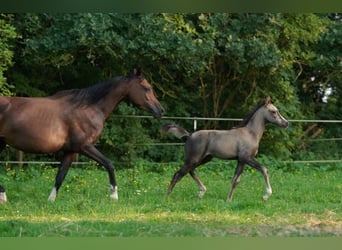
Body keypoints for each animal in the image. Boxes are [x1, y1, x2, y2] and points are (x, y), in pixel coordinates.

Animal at [0, 68, 164, 203]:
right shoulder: (84, 146)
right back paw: (3, 197)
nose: (160, 110)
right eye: (146, 88)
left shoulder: (71, 151)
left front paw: (50, 201)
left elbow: (60, 176)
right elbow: (109, 164)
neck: (87, 108)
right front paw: (114, 196)